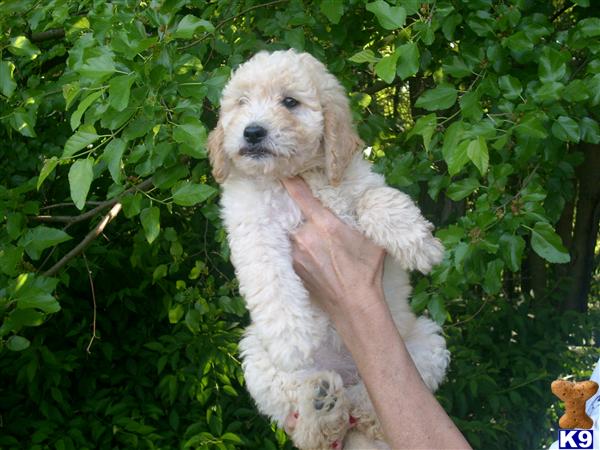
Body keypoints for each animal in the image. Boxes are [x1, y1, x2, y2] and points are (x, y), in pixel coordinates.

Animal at [209, 50, 448, 450]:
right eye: (241, 103)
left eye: (290, 102)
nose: (252, 131)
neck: (297, 176)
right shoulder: (253, 227)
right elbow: (270, 276)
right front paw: (292, 337)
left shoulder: (357, 184)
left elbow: (377, 198)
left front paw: (420, 244)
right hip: (258, 356)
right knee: (306, 423)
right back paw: (321, 409)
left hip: (424, 342)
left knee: (370, 403)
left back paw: (361, 413)